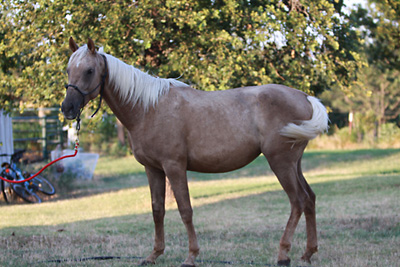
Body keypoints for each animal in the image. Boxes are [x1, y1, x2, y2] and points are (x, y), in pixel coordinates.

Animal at [60, 38, 328, 267]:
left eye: (89, 71)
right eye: (68, 70)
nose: (67, 108)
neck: (148, 109)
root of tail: (305, 97)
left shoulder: (174, 166)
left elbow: (185, 210)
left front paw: (191, 256)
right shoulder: (152, 169)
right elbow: (157, 209)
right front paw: (154, 254)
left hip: (280, 163)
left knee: (297, 201)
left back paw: (283, 254)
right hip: (294, 164)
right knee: (310, 198)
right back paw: (307, 253)